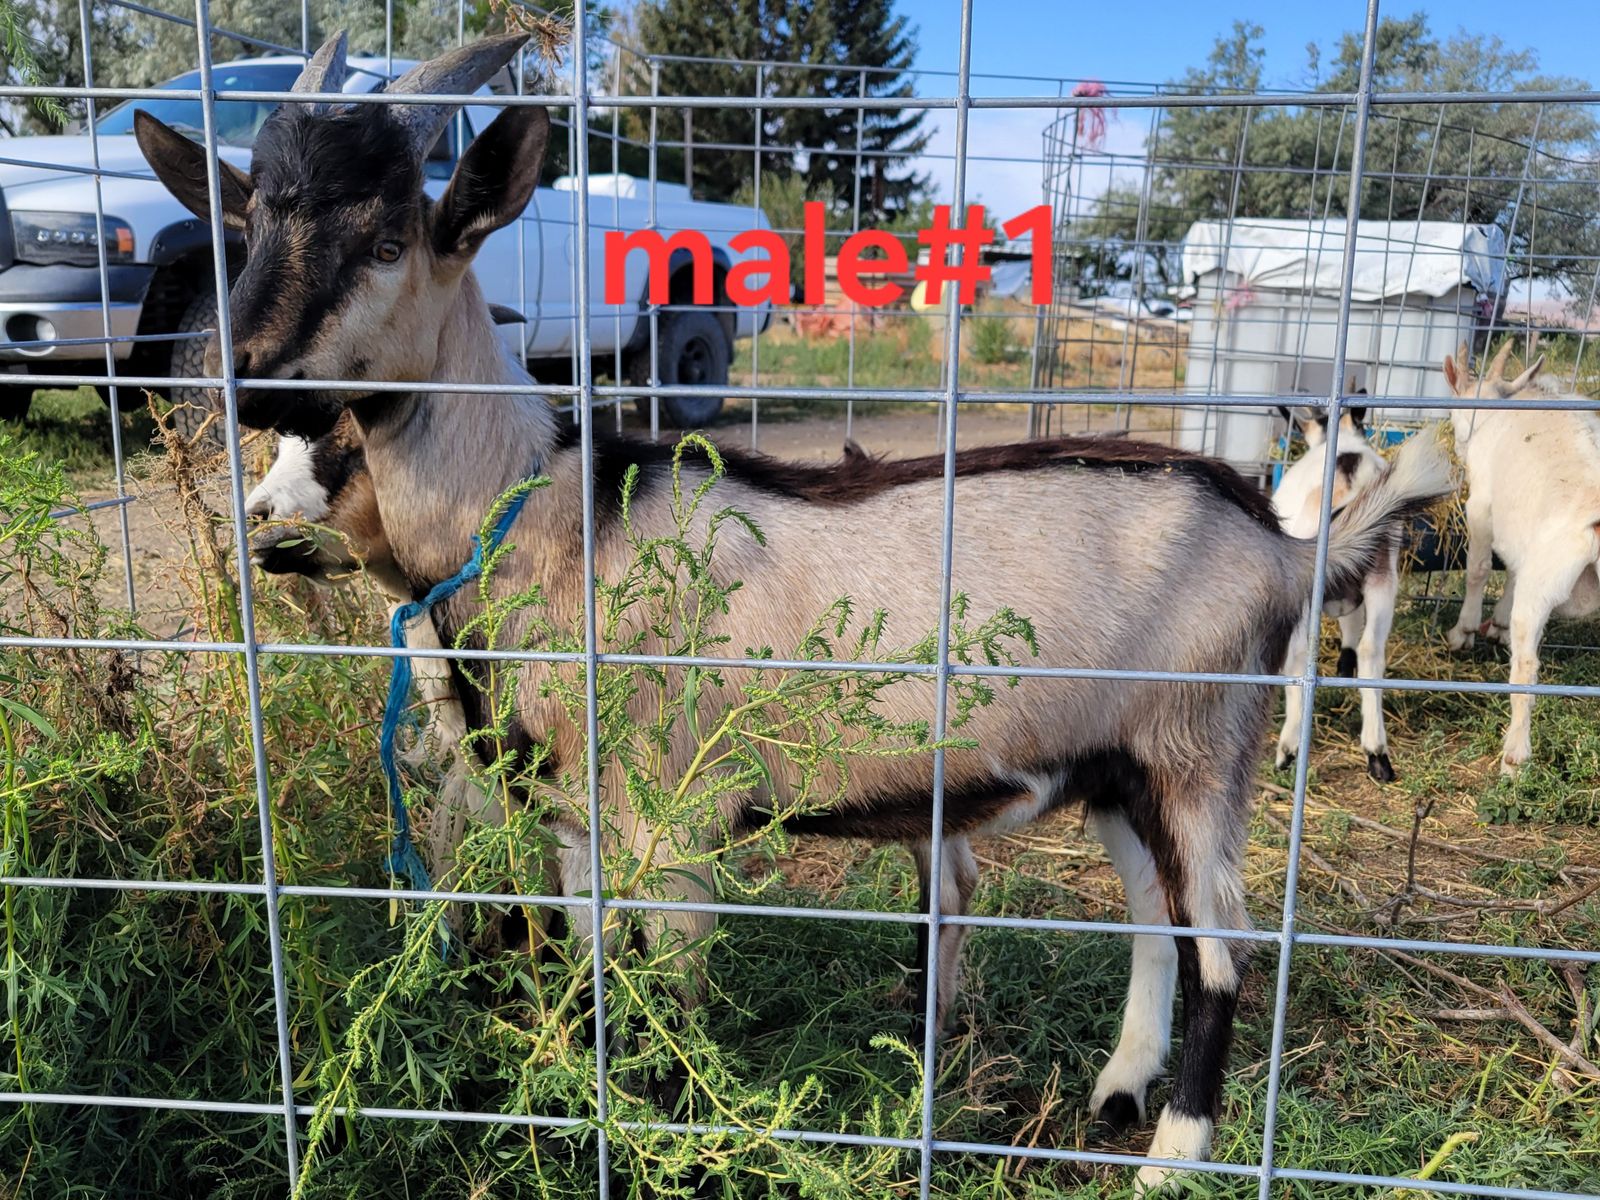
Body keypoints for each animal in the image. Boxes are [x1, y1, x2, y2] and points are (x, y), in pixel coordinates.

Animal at [1270, 402, 1418, 781]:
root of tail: (1352, 477)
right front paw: (1344, 665)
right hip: (1382, 569)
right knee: (1371, 650)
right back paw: (1377, 754)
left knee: (1298, 656)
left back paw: (1288, 749)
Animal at [1442, 343, 1600, 775]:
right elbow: (1511, 568)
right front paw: (1495, 625)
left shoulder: (1481, 505)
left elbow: (1479, 570)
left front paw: (1464, 632)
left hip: (1543, 585)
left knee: (1526, 667)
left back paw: (1514, 756)